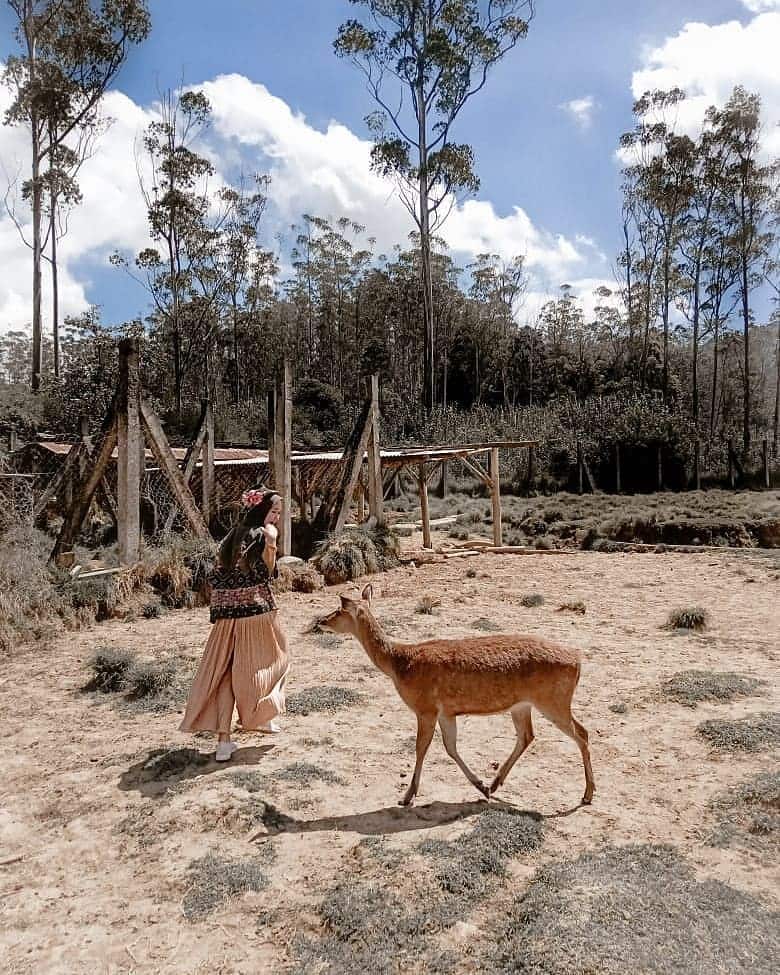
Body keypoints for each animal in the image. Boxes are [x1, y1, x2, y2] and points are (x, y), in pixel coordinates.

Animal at [318, 584, 596, 804]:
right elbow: (450, 747)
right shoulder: (447, 712)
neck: (399, 664)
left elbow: (421, 747)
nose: (321, 621)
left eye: (339, 610)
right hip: (522, 705)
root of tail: (578, 661)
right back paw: (495, 784)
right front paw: (481, 786)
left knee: (581, 732)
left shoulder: (425, 707)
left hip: (553, 700)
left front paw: (407, 796)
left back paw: (587, 794)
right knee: (527, 735)